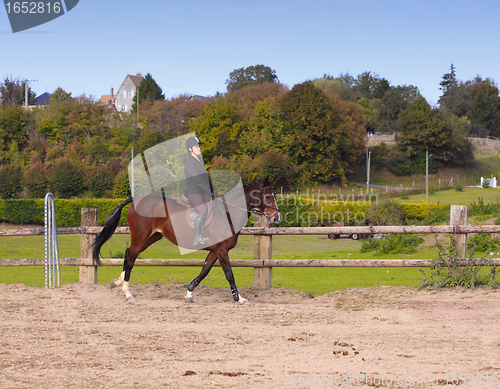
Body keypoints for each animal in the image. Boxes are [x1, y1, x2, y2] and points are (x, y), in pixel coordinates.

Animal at [92, 178, 280, 304]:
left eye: (275, 195)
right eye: (268, 196)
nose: (276, 219)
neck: (227, 213)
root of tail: (139, 200)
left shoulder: (215, 251)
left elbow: (204, 272)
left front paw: (189, 293)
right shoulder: (222, 250)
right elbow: (229, 275)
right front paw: (239, 298)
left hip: (152, 237)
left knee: (128, 254)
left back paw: (118, 282)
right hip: (140, 237)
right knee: (131, 257)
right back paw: (128, 293)